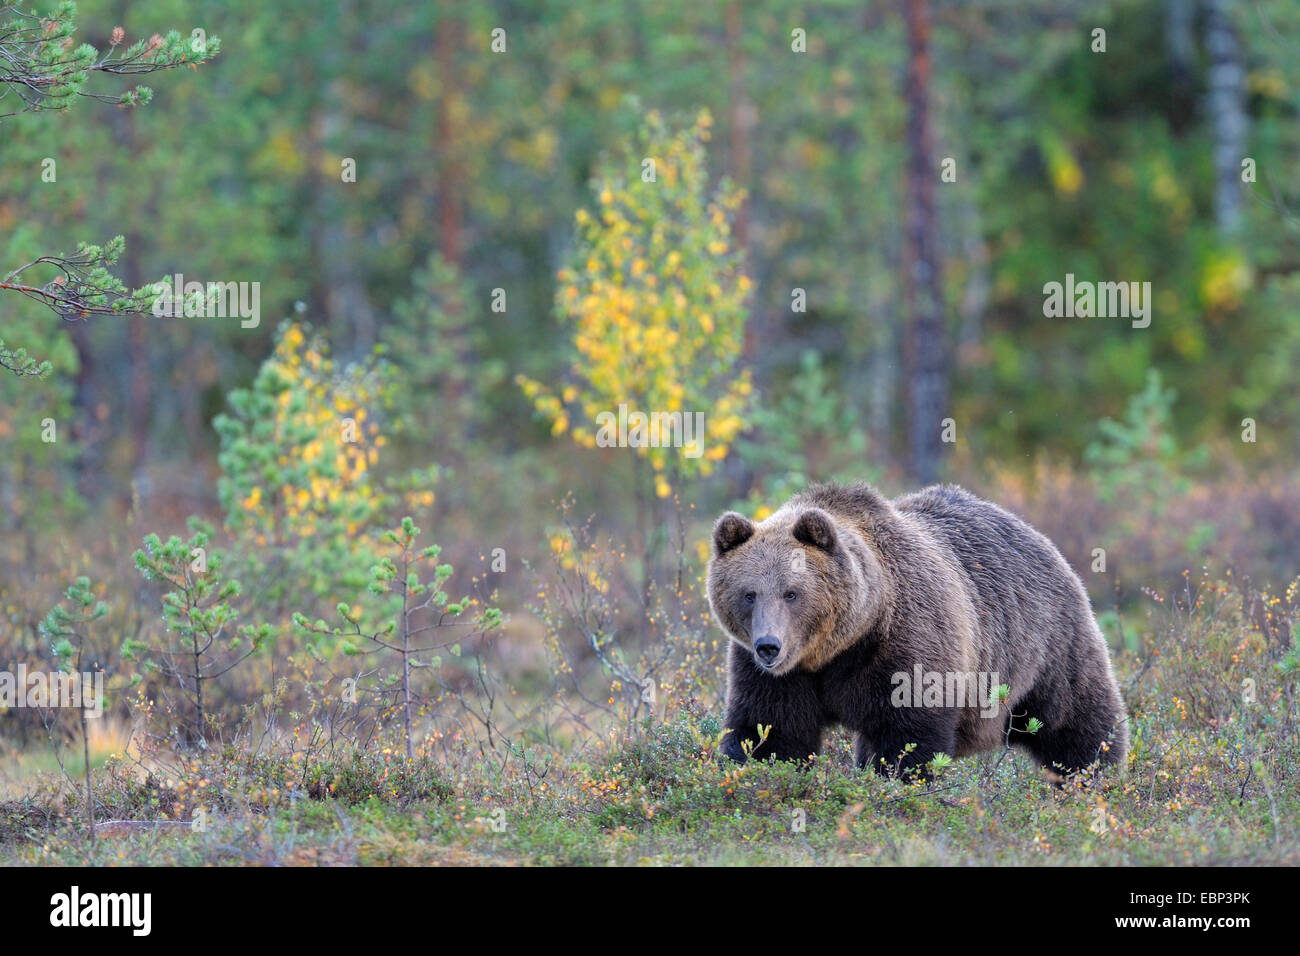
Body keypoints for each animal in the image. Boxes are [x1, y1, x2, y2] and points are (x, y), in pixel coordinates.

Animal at [712, 481, 1128, 780]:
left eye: (792, 592)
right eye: (749, 594)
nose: (769, 646)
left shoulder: (906, 644)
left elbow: (907, 734)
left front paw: (896, 781)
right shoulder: (775, 674)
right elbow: (772, 730)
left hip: (1046, 644)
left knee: (1075, 717)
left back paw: (1094, 773)